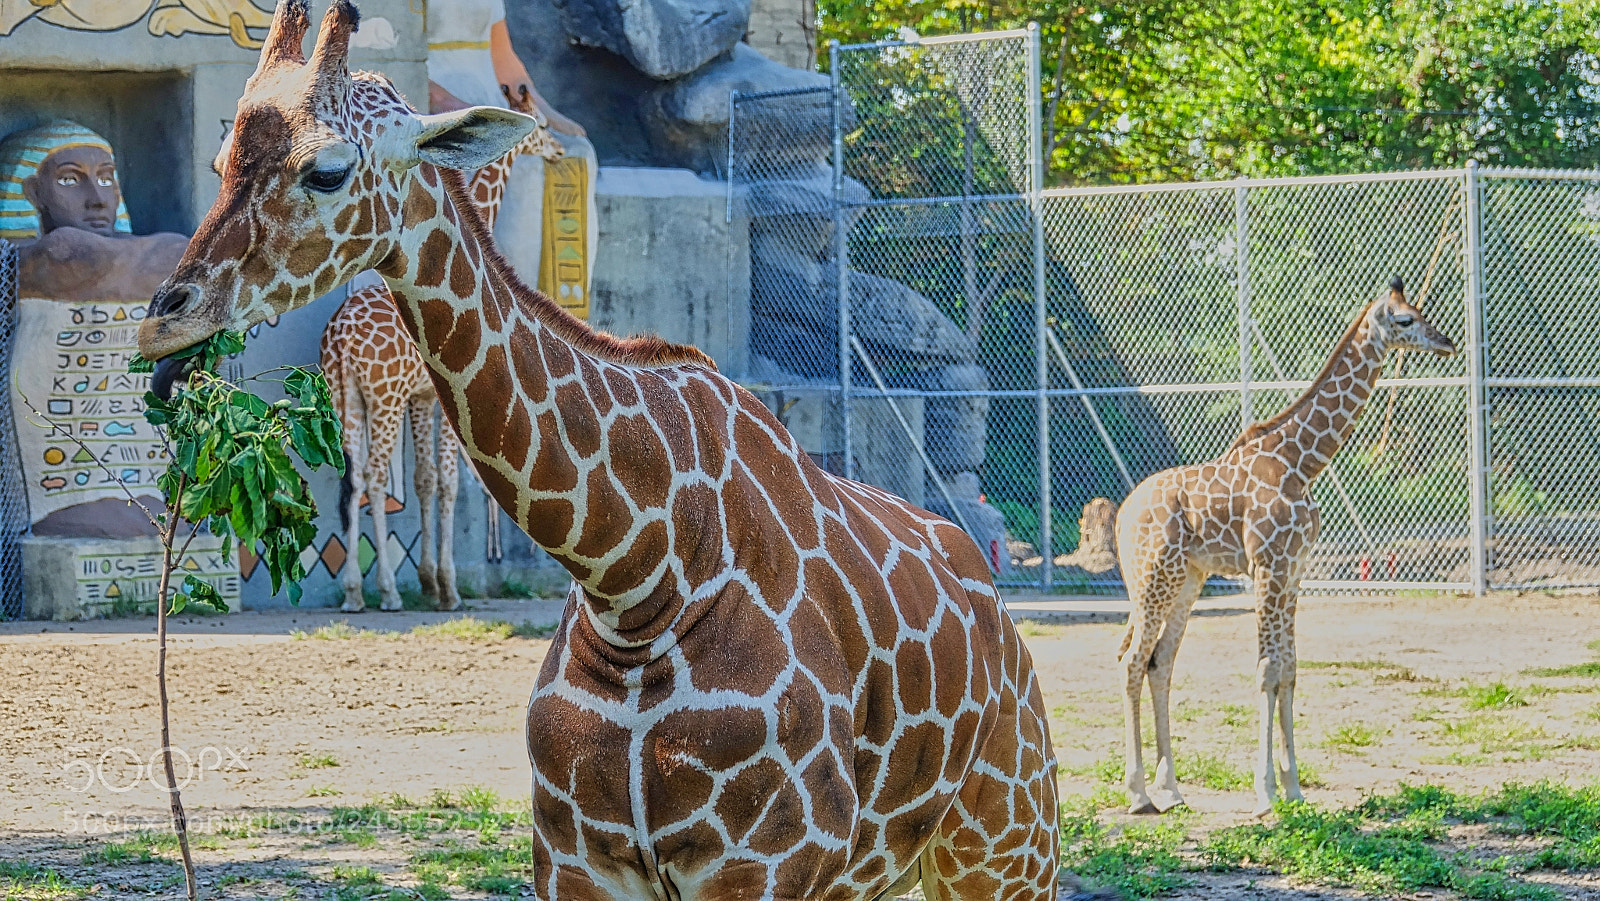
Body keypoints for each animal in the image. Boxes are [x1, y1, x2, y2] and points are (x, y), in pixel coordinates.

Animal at [320, 83, 561, 613]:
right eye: (543, 125)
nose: (557, 151)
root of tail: (340, 339)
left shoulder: (423, 396)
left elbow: (426, 480)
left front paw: (430, 580)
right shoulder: (439, 397)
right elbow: (448, 482)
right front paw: (447, 588)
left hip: (345, 396)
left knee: (352, 483)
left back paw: (353, 592)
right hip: (381, 397)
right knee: (372, 478)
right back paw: (386, 592)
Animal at [1116, 278, 1455, 818]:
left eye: (1421, 312)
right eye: (1405, 319)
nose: (1447, 343)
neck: (1302, 462)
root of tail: (1122, 514)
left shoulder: (1294, 573)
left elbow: (1291, 669)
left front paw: (1293, 787)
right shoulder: (1269, 568)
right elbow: (1266, 669)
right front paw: (1264, 792)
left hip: (1187, 580)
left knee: (1159, 661)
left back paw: (1171, 789)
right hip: (1152, 579)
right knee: (1132, 660)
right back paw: (1138, 793)